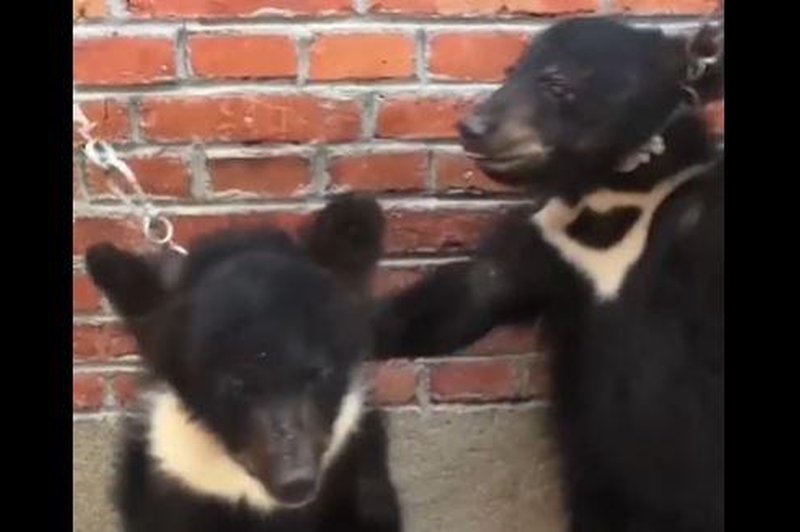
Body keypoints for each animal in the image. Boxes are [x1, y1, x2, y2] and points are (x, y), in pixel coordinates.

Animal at [376, 16, 724, 532]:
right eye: (510, 72)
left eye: (556, 84)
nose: (473, 127)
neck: (614, 192)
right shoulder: (551, 243)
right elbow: (472, 294)